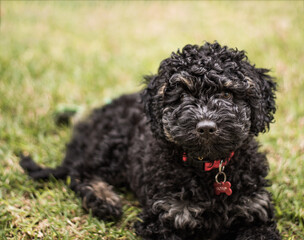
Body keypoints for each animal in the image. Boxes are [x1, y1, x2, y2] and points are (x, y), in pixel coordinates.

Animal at [20, 42, 282, 239]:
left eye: (227, 93)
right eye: (182, 96)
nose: (206, 127)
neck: (208, 168)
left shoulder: (255, 212)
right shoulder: (163, 215)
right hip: (112, 144)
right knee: (80, 172)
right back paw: (104, 200)